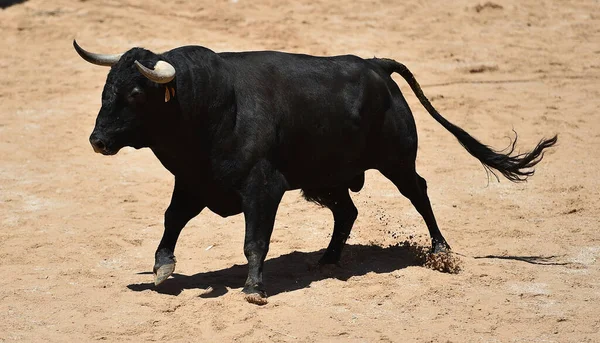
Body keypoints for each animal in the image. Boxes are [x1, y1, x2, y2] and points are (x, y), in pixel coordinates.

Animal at [74, 39, 556, 306]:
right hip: (328, 178)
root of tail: (375, 65)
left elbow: (254, 240)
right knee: (348, 212)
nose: (97, 140)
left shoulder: (262, 188)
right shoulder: (194, 182)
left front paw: (253, 288)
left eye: (136, 94)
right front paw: (162, 267)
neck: (210, 105)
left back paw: (440, 250)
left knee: (418, 193)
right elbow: (172, 220)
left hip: (397, 161)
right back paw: (328, 258)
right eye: (106, 88)